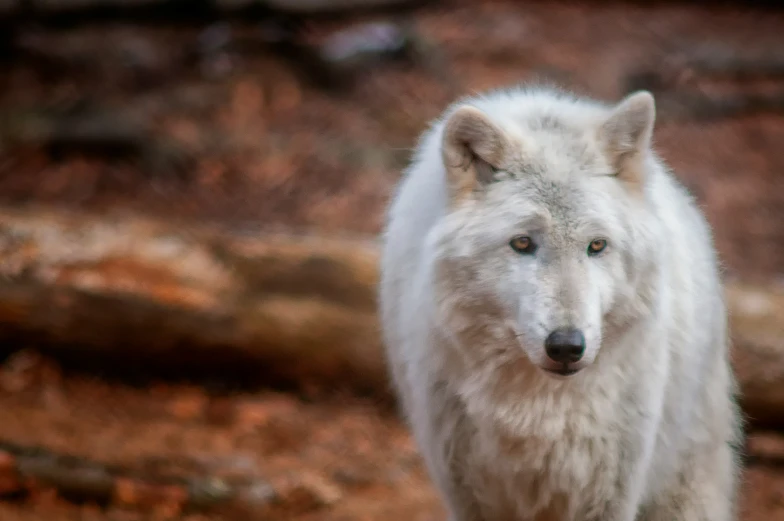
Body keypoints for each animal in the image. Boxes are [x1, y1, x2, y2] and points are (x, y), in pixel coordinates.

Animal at [378, 86, 740, 520]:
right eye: (522, 243)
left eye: (596, 245)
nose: (567, 346)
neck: (538, 410)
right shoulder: (469, 493)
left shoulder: (610, 493)